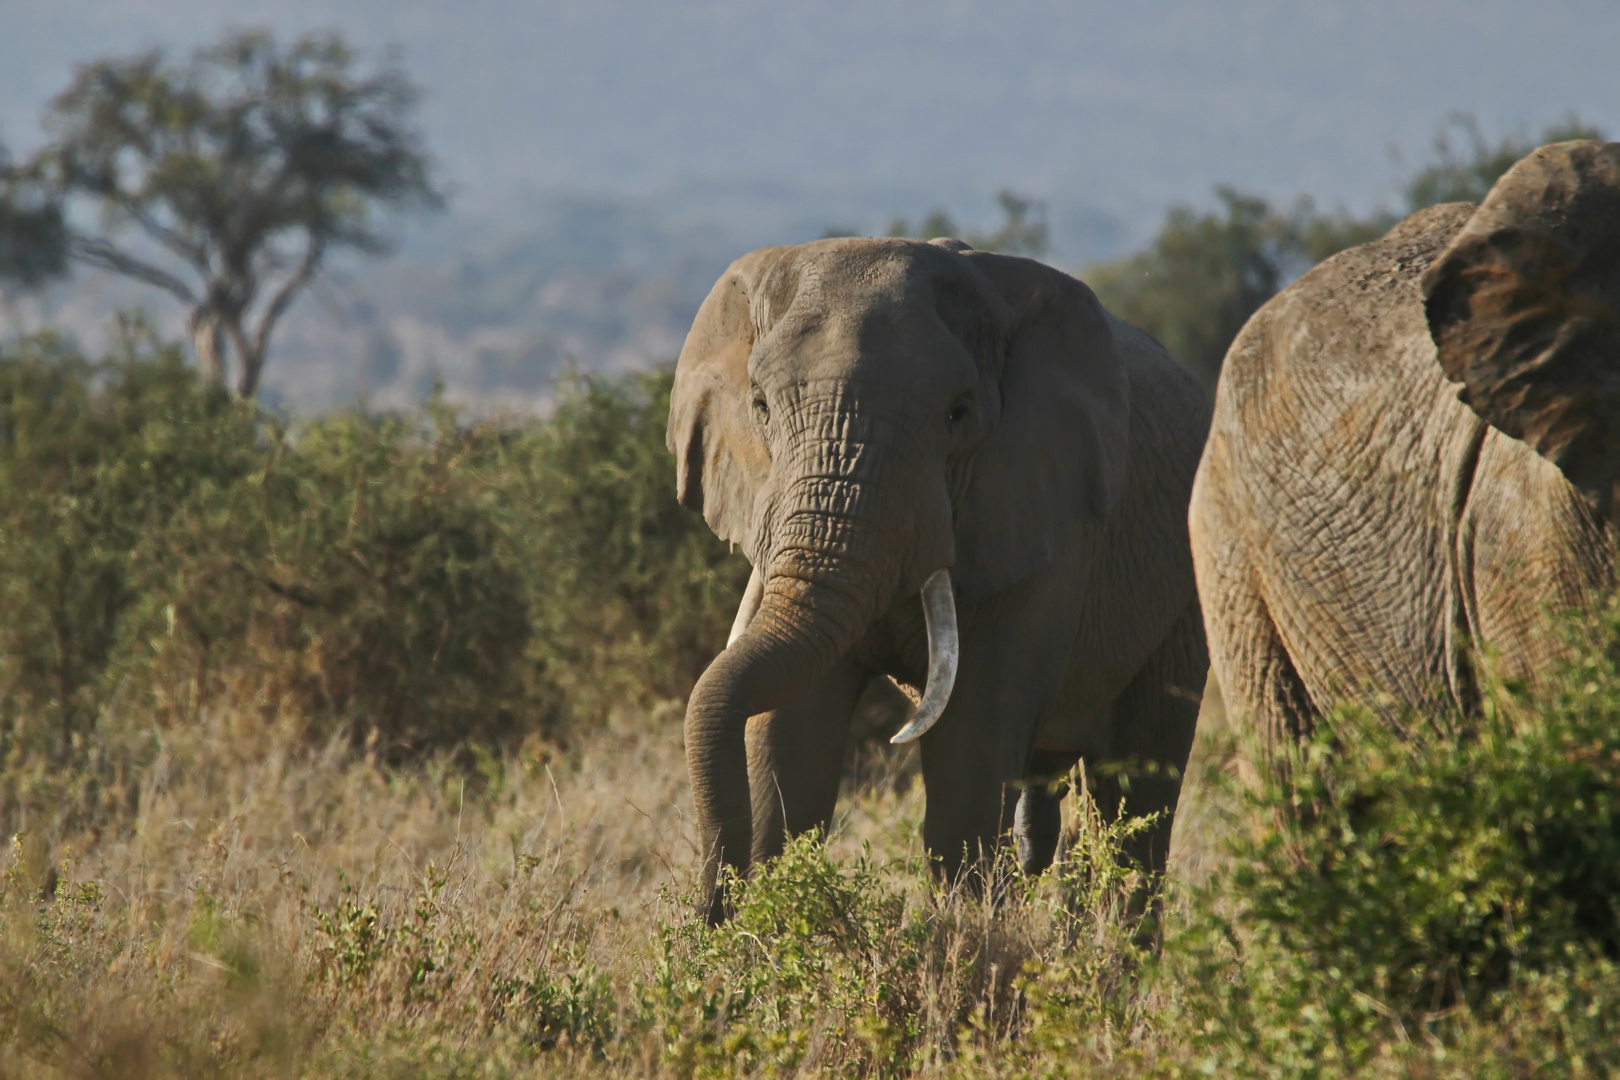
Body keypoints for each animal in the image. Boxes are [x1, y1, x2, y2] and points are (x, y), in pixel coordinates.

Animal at [664, 236, 1211, 919]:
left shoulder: (1044, 513)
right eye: (760, 406)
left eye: (958, 414)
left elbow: (972, 745)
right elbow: (790, 731)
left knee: (1136, 795)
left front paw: (965, 937)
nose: (711, 904)